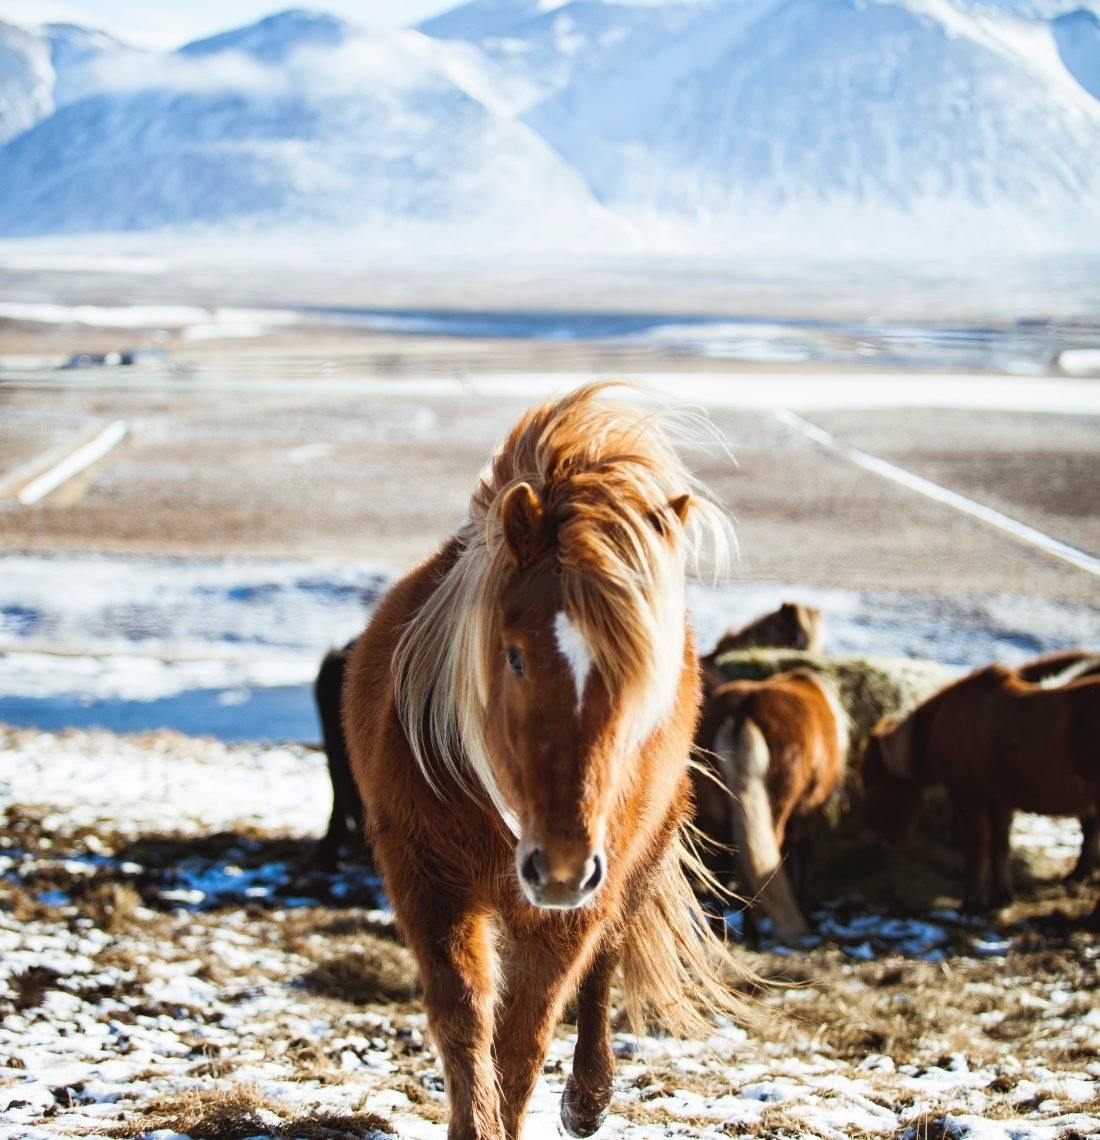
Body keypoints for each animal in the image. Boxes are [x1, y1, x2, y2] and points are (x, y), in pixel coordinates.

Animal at [342, 384, 751, 1140]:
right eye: (514, 655)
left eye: (638, 678)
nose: (559, 865)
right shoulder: (424, 880)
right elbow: (464, 1020)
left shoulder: (574, 907)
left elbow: (524, 1041)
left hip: (632, 862)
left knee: (605, 965)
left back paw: (588, 1100)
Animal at [693, 669, 847, 938]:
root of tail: (741, 712)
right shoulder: (810, 814)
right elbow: (802, 856)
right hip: (775, 812)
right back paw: (754, 932)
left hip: (717, 817)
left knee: (719, 867)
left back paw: (720, 929)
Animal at [861, 659, 1100, 911]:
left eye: (871, 780)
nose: (869, 839)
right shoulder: (999, 800)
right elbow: (999, 845)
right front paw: (1001, 896)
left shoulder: (967, 795)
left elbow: (976, 846)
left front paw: (971, 902)